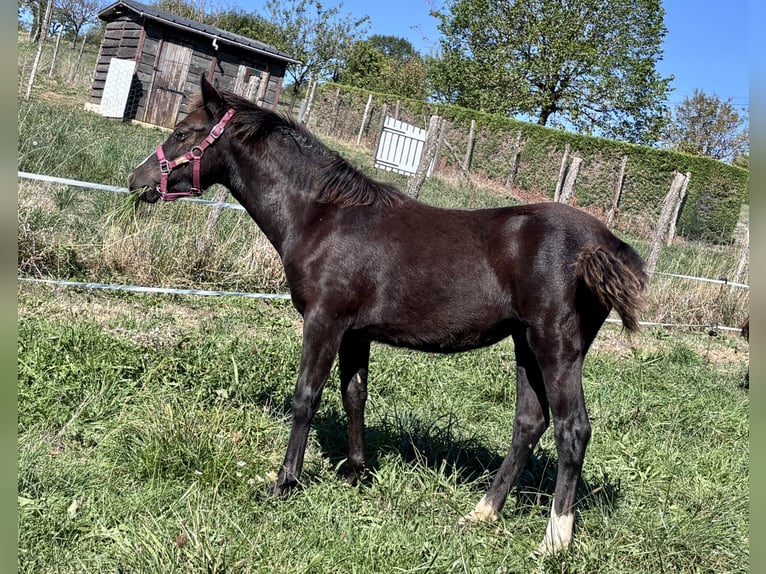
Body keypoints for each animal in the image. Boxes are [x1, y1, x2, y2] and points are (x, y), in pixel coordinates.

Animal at [128, 75, 647, 557]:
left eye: (183, 131)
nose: (137, 180)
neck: (323, 216)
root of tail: (606, 244)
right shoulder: (356, 332)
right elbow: (354, 395)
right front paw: (357, 473)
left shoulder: (324, 320)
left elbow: (306, 397)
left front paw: (285, 481)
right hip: (526, 345)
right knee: (529, 423)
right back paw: (483, 512)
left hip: (556, 346)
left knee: (571, 430)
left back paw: (555, 539)